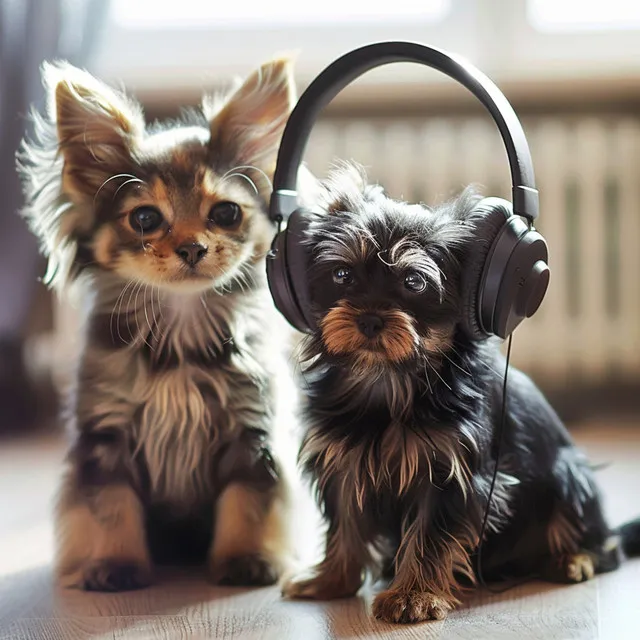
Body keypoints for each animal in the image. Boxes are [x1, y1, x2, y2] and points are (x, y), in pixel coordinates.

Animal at [284, 162, 640, 624]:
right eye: (342, 275)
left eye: (414, 282)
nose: (369, 320)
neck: (390, 377)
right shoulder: (342, 462)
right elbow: (343, 524)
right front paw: (331, 580)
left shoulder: (451, 473)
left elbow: (430, 535)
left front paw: (413, 596)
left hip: (569, 475)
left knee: (605, 544)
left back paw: (574, 558)